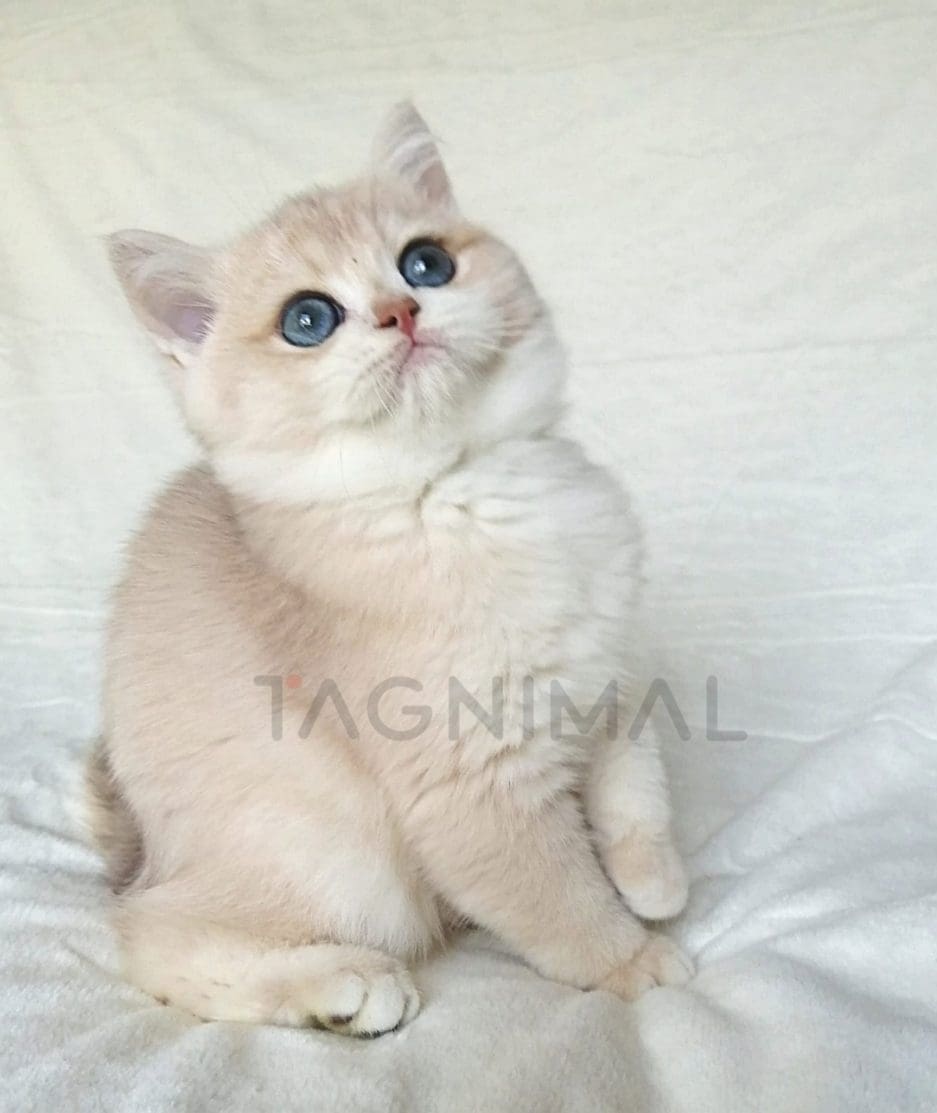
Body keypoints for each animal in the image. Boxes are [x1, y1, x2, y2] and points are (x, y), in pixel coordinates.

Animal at [88, 103, 692, 1037]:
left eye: (425, 263)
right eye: (308, 319)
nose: (401, 310)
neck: (466, 488)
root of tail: (141, 852)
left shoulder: (610, 676)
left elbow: (635, 785)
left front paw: (652, 881)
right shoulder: (471, 781)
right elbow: (559, 897)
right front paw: (634, 959)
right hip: (332, 859)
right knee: (154, 935)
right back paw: (341, 986)